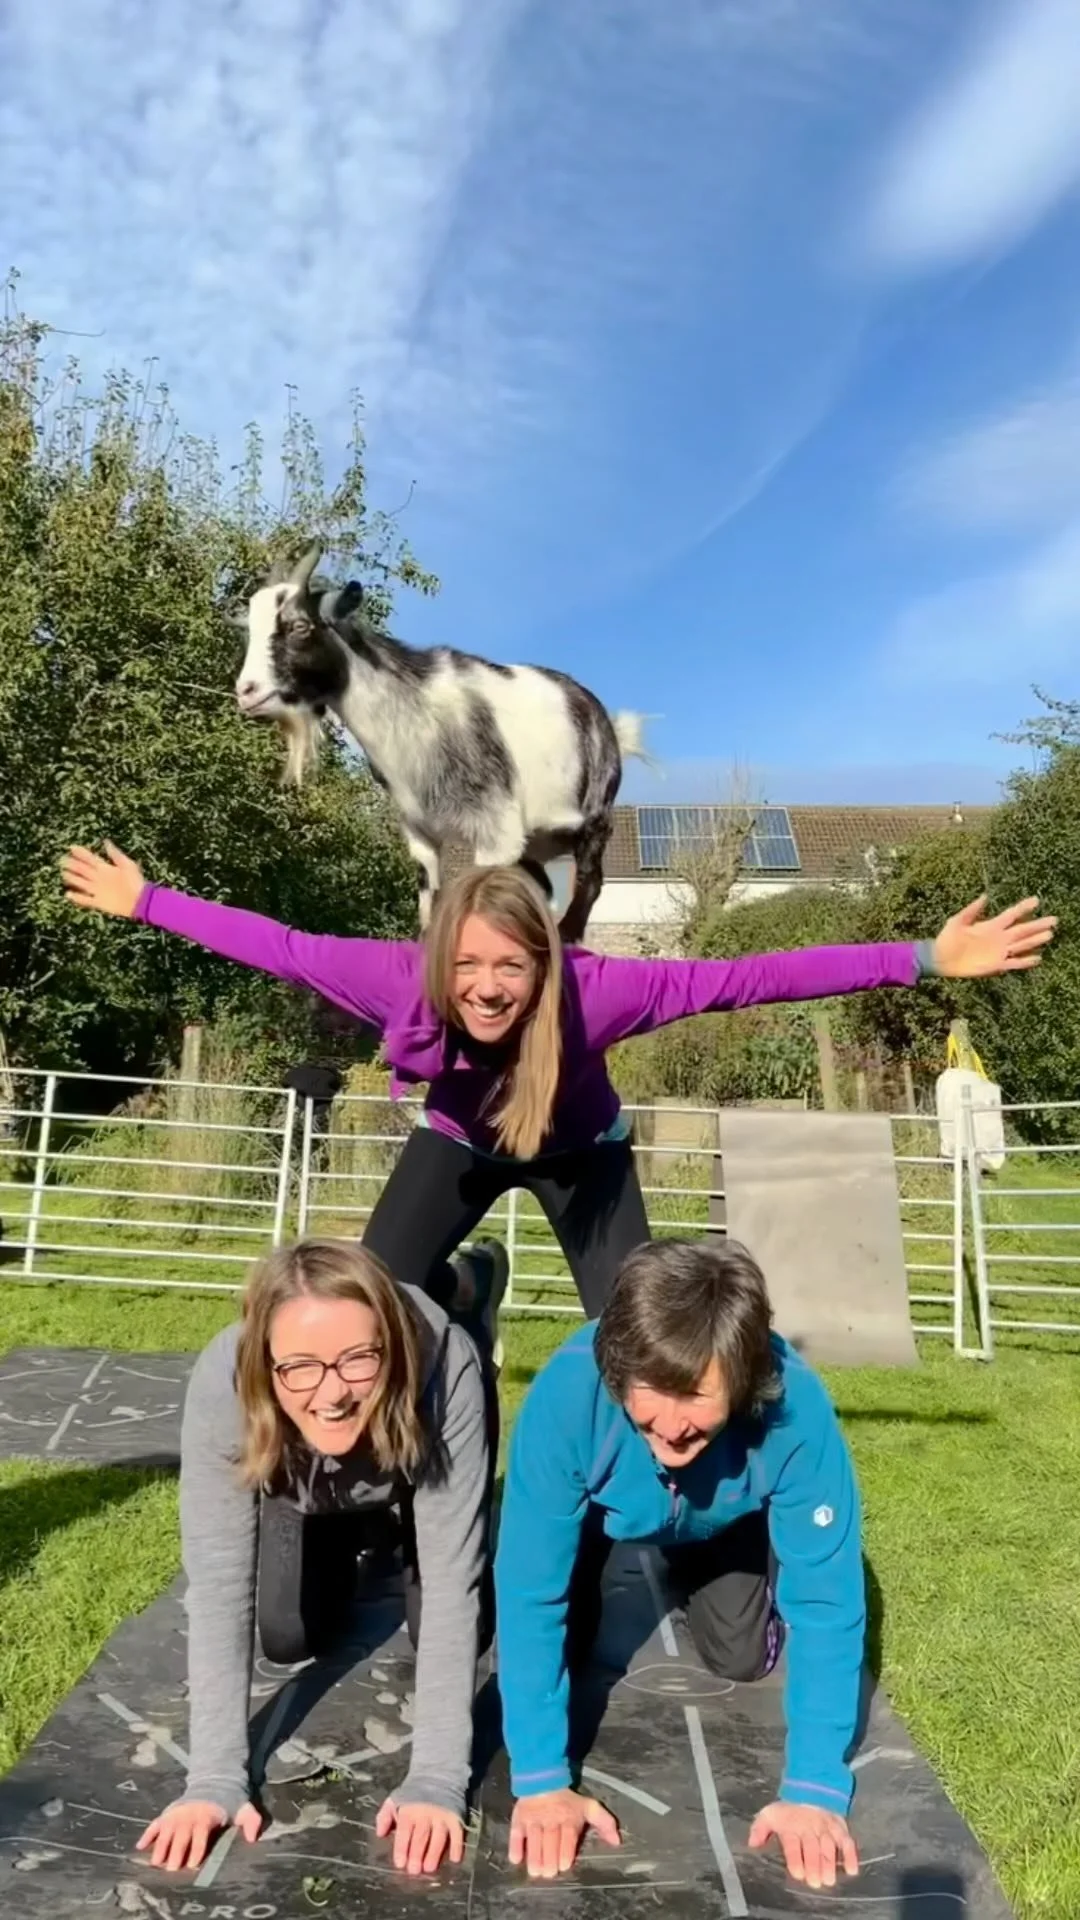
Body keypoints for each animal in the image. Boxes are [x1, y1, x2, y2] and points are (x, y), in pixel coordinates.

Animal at [229, 544, 649, 944]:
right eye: (250, 627)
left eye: (299, 625)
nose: (247, 691)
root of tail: (605, 719)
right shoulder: (420, 831)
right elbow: (429, 902)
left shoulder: (495, 829)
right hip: (535, 843)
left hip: (595, 814)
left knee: (590, 879)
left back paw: (568, 935)